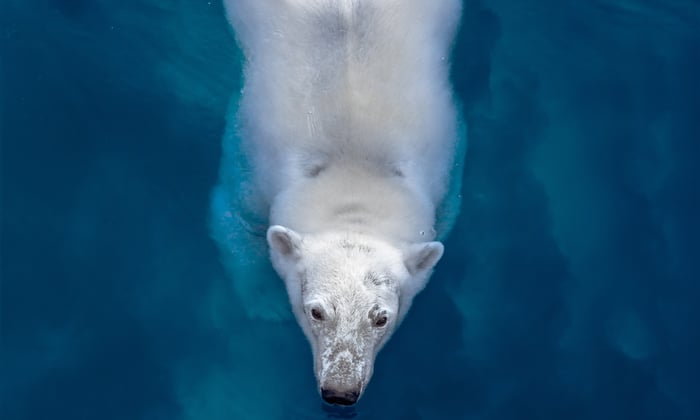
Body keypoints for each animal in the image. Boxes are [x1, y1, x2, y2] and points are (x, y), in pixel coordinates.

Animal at [211, 0, 465, 406]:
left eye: (380, 317)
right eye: (316, 311)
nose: (340, 392)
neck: (354, 165)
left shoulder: (445, 171)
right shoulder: (252, 164)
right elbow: (234, 218)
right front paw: (266, 303)